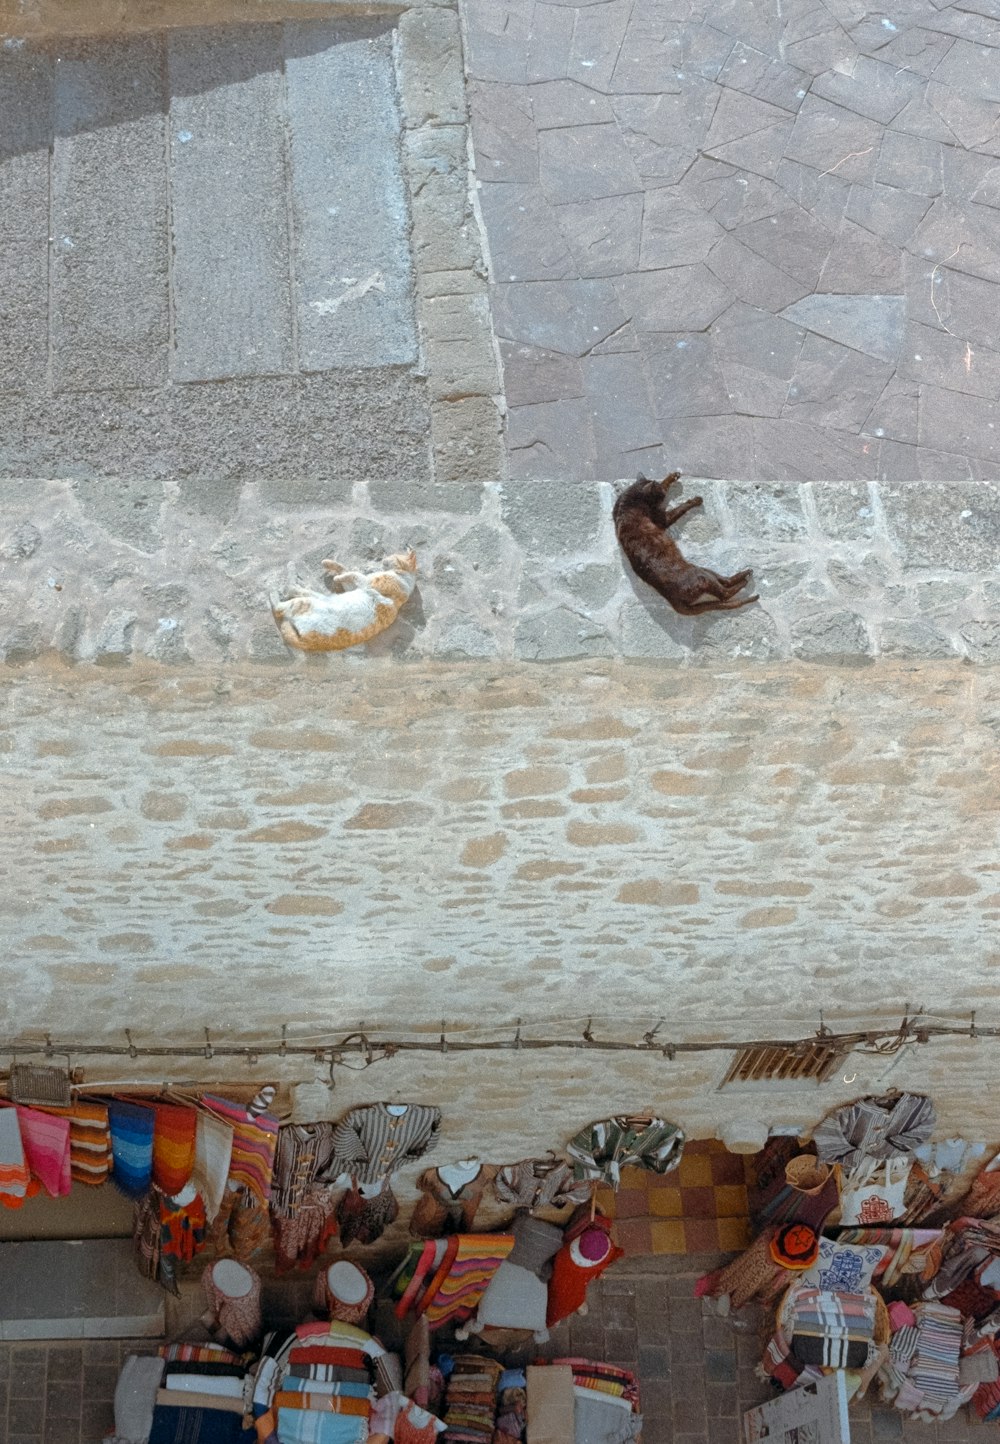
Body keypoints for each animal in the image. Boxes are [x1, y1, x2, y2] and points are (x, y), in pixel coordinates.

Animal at [269, 542, 418, 652]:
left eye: (393, 556)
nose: (383, 559)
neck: (405, 577)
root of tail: (304, 642)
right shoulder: (354, 587)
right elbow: (344, 569)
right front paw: (328, 563)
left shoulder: (367, 583)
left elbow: (353, 574)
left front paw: (336, 577)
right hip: (316, 597)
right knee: (294, 590)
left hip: (305, 603)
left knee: (280, 604)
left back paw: (276, 584)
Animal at [608, 470, 756, 612]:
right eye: (661, 496)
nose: (663, 497)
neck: (627, 503)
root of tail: (673, 601)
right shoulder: (662, 519)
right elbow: (679, 508)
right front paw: (695, 500)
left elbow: (664, 484)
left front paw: (673, 476)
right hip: (702, 576)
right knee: (724, 594)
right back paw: (744, 582)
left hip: (702, 569)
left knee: (725, 581)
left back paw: (745, 573)